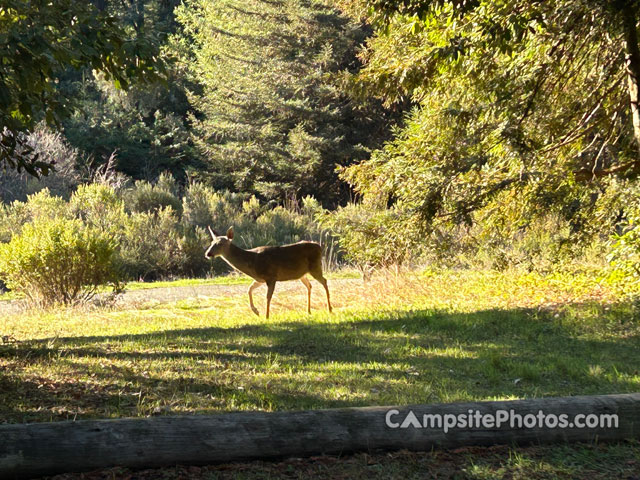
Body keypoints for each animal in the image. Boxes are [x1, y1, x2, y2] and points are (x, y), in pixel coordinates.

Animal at [205, 227, 336, 320]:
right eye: (211, 242)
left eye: (220, 244)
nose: (208, 253)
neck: (252, 262)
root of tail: (319, 246)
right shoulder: (260, 279)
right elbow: (249, 289)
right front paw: (256, 311)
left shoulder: (271, 276)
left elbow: (268, 297)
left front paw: (267, 316)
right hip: (302, 274)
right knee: (309, 285)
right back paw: (308, 310)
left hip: (315, 267)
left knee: (324, 281)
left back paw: (330, 309)